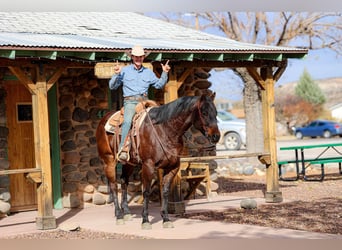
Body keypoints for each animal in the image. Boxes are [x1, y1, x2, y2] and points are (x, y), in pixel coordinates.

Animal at [95, 93, 220, 229]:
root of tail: (104, 119)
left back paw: (127, 213)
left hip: (129, 163)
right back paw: (119, 216)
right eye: (204, 112)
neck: (165, 131)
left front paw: (166, 218)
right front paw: (145, 220)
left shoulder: (173, 167)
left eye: (216, 112)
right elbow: (146, 191)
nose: (216, 136)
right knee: (113, 186)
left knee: (124, 181)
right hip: (109, 160)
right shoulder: (148, 165)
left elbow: (165, 191)